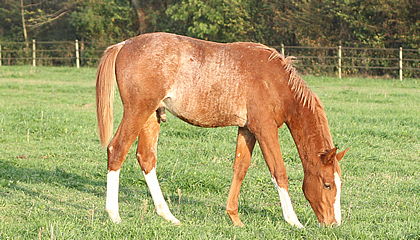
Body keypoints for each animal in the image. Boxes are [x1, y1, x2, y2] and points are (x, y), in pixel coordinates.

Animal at [97, 32, 350, 228]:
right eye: (327, 184)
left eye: (339, 185)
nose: (333, 224)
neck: (276, 81)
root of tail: (123, 45)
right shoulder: (265, 129)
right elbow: (279, 172)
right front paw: (294, 221)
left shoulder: (247, 129)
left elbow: (240, 169)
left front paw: (234, 218)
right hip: (137, 111)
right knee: (117, 150)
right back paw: (114, 215)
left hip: (151, 116)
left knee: (147, 158)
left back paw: (168, 216)